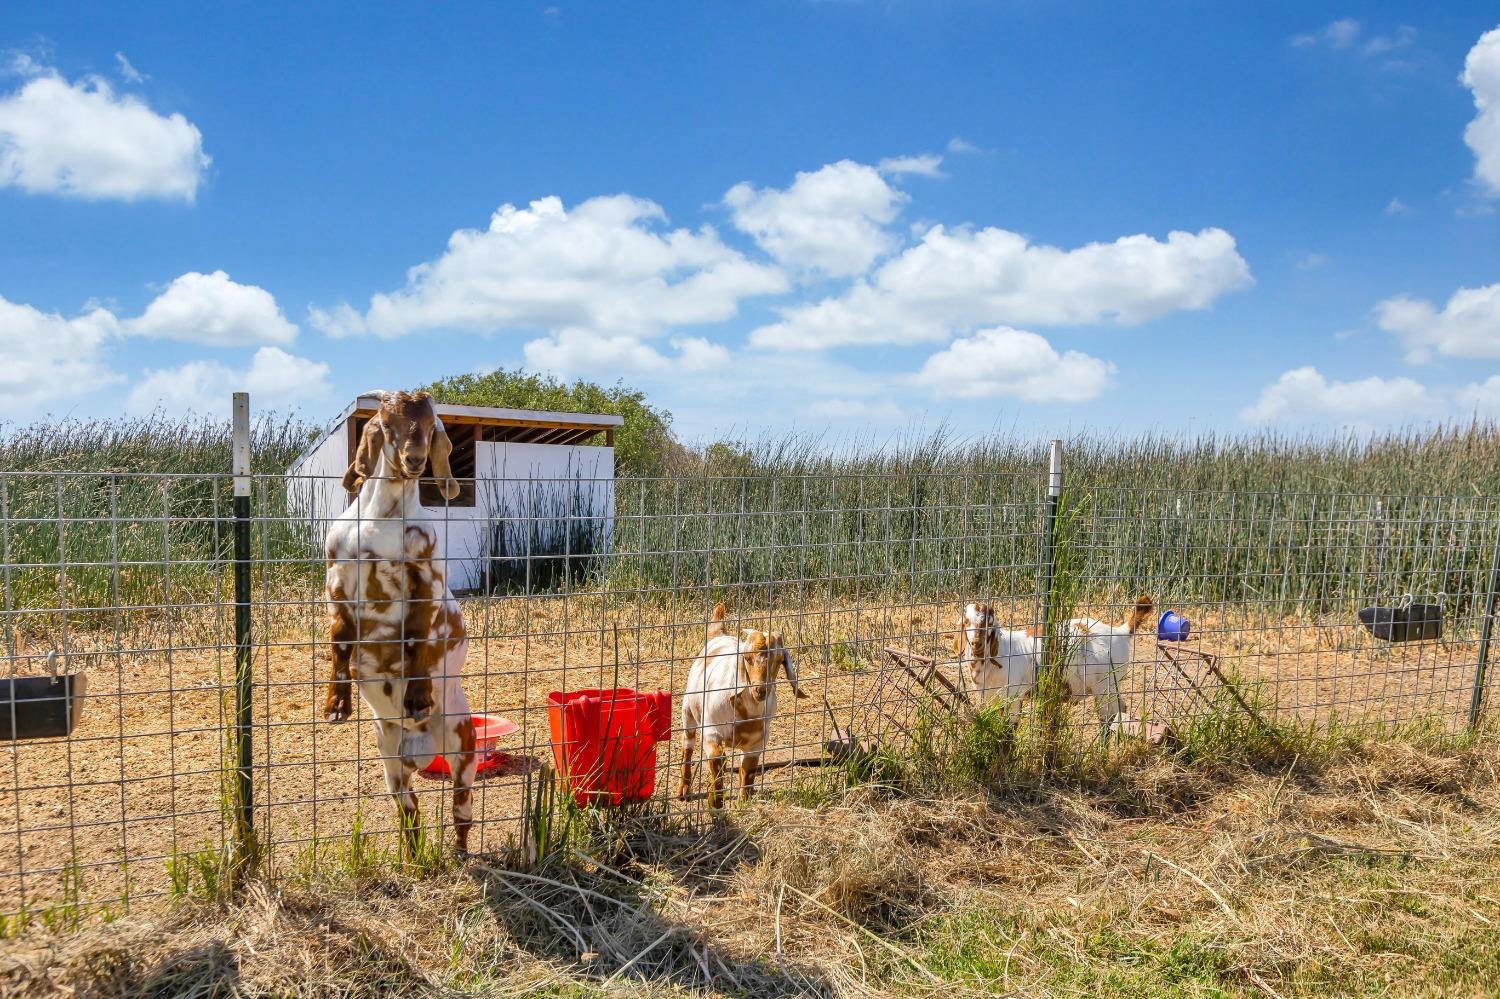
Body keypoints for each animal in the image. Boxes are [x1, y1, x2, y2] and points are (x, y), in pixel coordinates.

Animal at [322, 390, 474, 846]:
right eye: (386, 425)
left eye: (430, 426)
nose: (415, 460)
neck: (381, 522)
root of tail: (419, 752)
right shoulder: (337, 580)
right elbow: (339, 640)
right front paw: (336, 705)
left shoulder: (427, 579)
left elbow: (419, 637)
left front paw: (418, 696)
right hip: (388, 754)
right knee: (409, 809)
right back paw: (413, 853)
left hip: (463, 739)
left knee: (461, 805)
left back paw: (460, 851)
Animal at [675, 603, 804, 804]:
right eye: (747, 658)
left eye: (779, 660)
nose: (761, 690)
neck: (746, 713)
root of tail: (719, 633)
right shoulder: (711, 731)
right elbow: (717, 764)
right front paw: (715, 802)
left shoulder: (757, 742)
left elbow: (748, 771)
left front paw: (744, 800)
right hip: (688, 709)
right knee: (688, 745)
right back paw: (683, 790)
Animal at [954, 591, 1152, 723]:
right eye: (966, 622)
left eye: (989, 623)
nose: (976, 644)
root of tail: (1120, 632)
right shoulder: (991, 698)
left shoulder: (1014, 697)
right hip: (1112, 685)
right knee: (1121, 709)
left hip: (1104, 686)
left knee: (1107, 717)